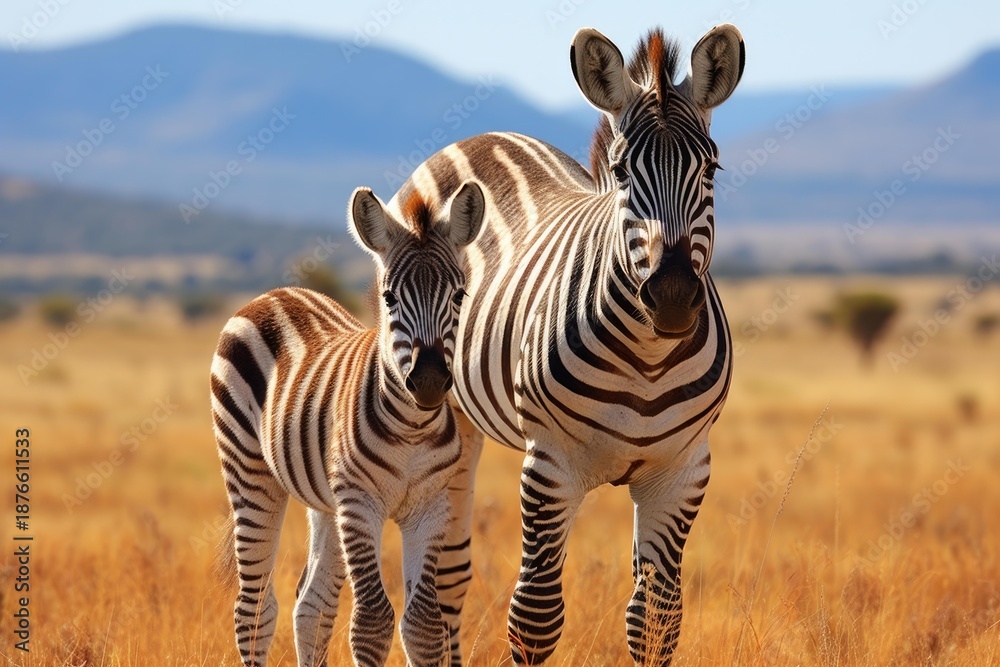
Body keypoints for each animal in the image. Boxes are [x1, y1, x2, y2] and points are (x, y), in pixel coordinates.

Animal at [210, 180, 486, 667]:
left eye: (459, 296)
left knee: (311, 604)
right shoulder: (360, 503)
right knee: (255, 609)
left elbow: (422, 625)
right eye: (389, 298)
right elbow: (372, 621)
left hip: (325, 498)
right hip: (250, 473)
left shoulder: (431, 507)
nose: (430, 381)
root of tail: (275, 292)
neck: (411, 428)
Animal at [390, 25, 745, 665]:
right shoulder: (551, 465)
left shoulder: (682, 471)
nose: (673, 295)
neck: (648, 360)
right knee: (443, 584)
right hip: (439, 410)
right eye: (623, 173)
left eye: (711, 169)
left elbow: (656, 621)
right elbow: (535, 617)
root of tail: (483, 135)